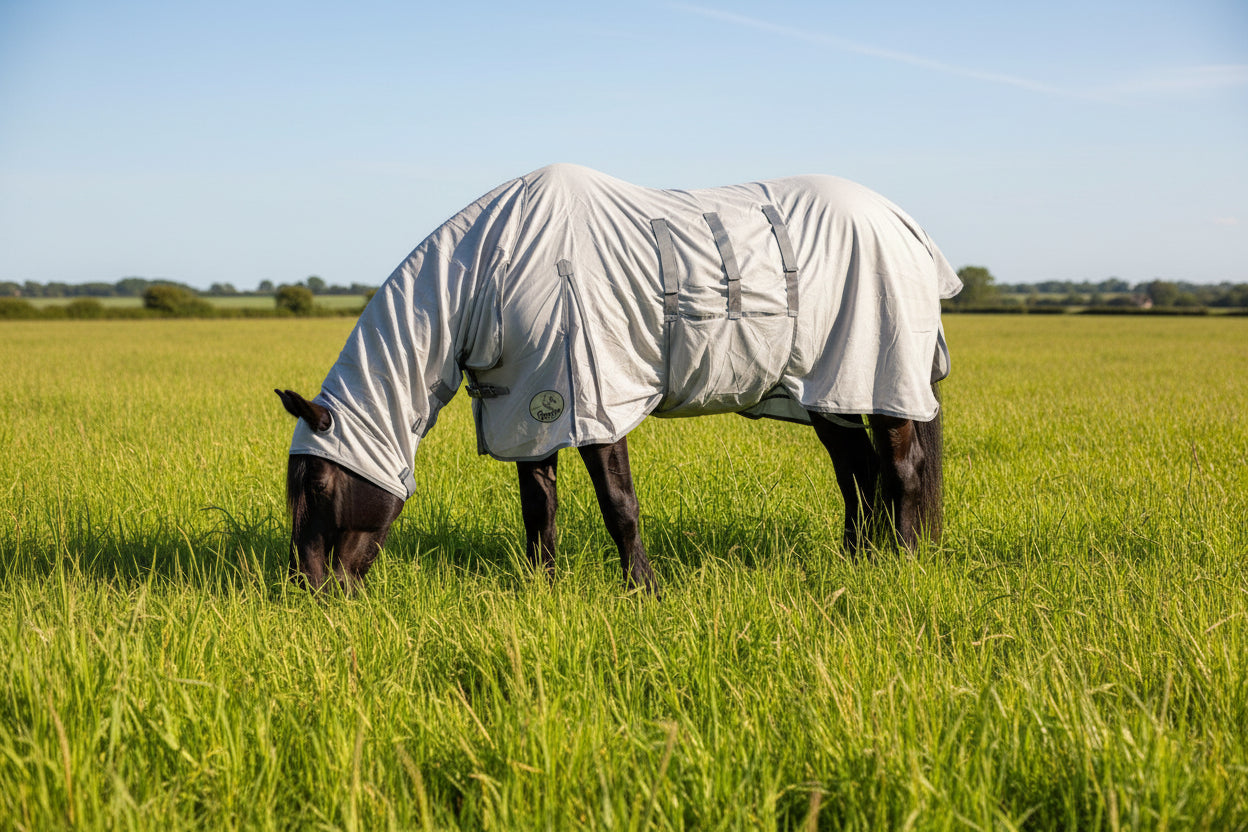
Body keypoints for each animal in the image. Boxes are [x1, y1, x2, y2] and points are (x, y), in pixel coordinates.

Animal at [277, 164, 961, 594]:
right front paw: (541, 589)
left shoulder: (594, 399)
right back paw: (857, 562)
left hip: (882, 376)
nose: (309, 591)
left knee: (900, 472)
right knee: (859, 475)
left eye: (318, 484)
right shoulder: (530, 408)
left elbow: (619, 507)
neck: (498, 271)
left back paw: (900, 563)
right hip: (830, 392)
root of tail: (907, 226)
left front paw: (644, 590)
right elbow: (539, 510)